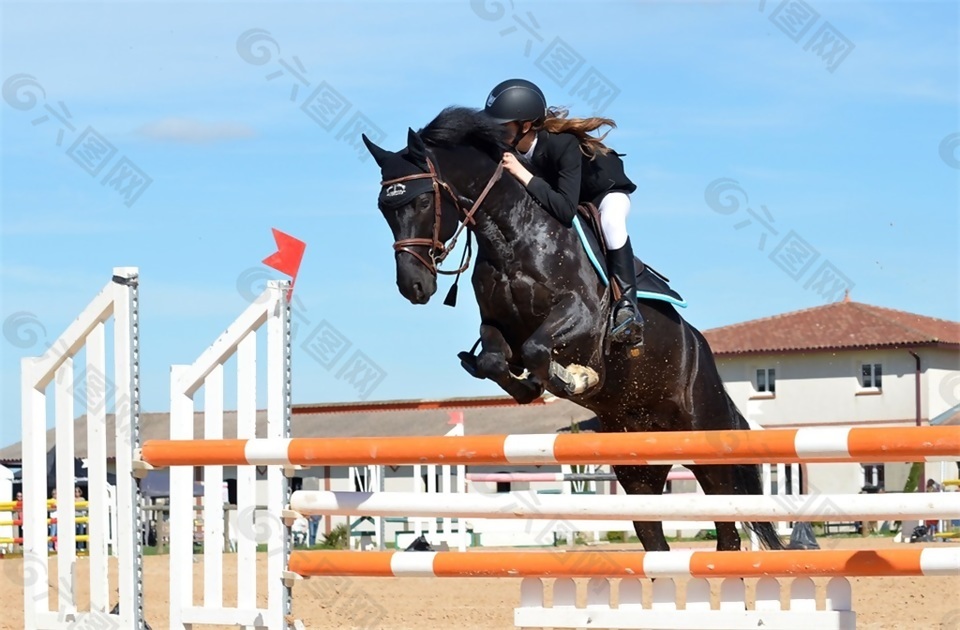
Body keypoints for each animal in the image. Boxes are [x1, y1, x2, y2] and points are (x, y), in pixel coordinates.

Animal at [361, 106, 784, 553]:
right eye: (384, 209)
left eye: (425, 199)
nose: (413, 286)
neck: (511, 236)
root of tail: (702, 351)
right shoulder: (497, 326)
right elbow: (497, 360)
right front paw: (531, 386)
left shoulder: (582, 316)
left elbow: (539, 348)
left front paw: (576, 378)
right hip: (638, 465)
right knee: (656, 537)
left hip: (707, 442)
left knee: (728, 530)